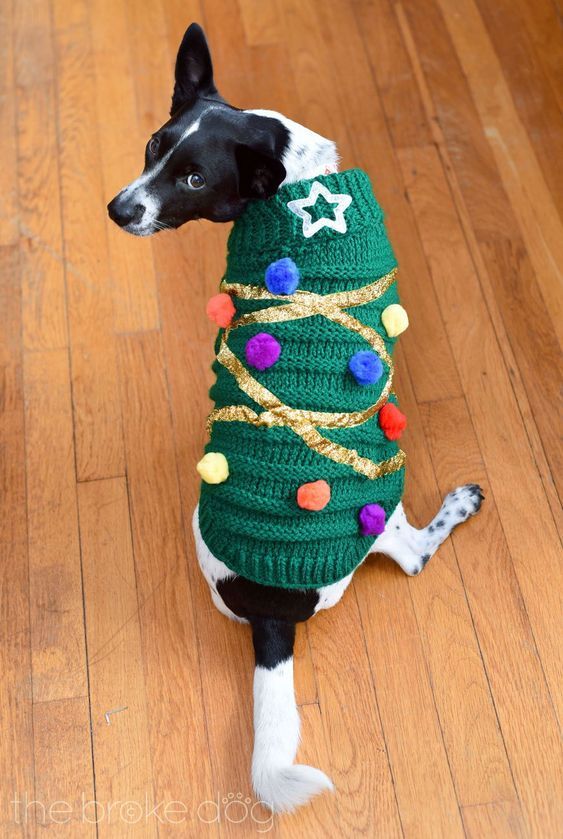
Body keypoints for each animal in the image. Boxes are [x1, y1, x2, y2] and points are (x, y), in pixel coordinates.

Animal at [110, 24, 484, 812]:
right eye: (155, 145)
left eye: (193, 178)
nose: (119, 210)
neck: (296, 186)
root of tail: (270, 614)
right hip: (383, 504)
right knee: (412, 554)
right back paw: (457, 506)